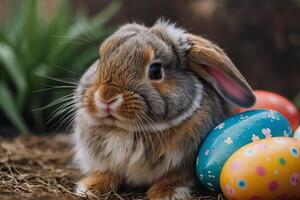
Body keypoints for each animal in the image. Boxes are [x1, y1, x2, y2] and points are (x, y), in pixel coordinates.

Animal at [72, 20, 255, 200]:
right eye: (100, 58)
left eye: (155, 71)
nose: (107, 96)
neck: (126, 130)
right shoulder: (102, 162)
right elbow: (105, 173)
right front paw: (89, 188)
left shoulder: (182, 163)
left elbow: (173, 178)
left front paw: (167, 193)